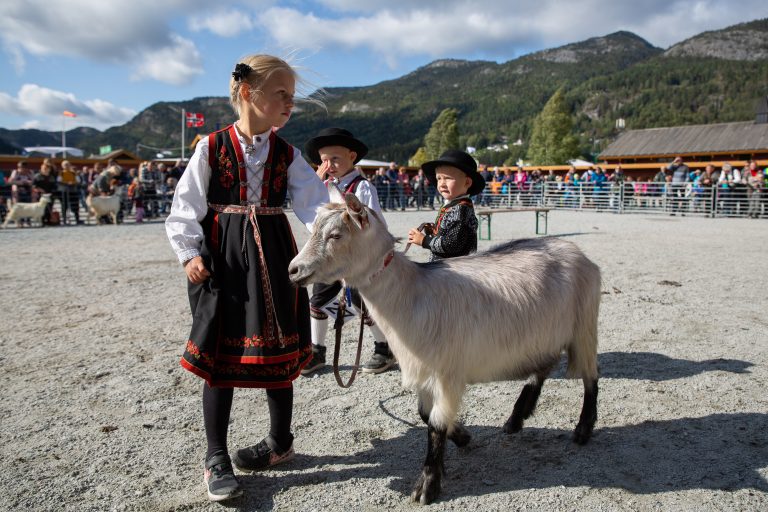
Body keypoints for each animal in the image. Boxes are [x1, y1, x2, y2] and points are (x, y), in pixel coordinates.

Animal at [288, 190, 600, 506]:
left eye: (336, 235)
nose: (293, 270)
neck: (411, 294)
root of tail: (576, 251)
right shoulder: (424, 371)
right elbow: (425, 415)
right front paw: (462, 435)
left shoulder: (446, 372)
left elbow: (435, 423)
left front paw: (427, 485)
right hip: (543, 336)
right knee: (543, 369)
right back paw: (516, 418)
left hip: (584, 328)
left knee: (590, 378)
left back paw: (583, 429)